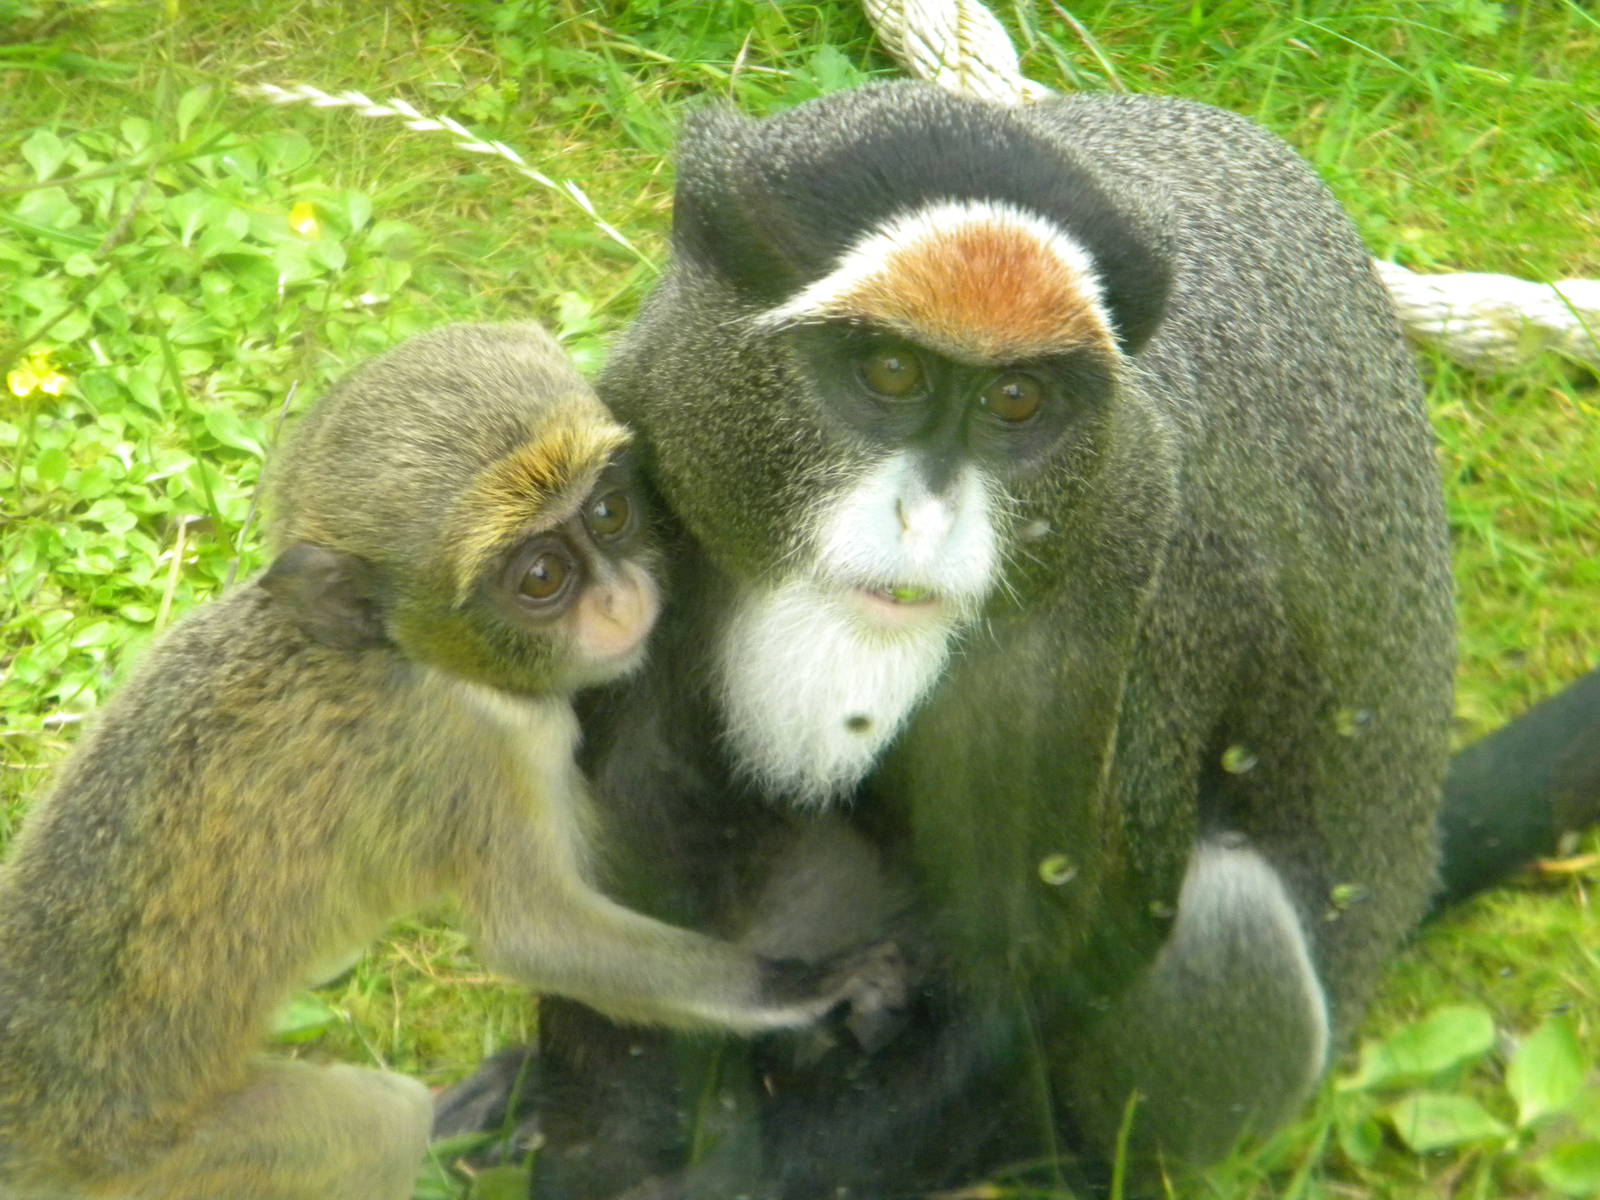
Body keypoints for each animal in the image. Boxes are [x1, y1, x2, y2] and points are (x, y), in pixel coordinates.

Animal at [0, 322, 907, 1200]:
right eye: (541, 575)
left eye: (610, 513)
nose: (621, 599)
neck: (405, 658)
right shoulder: (479, 753)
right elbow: (535, 934)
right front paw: (804, 987)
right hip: (178, 1164)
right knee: (380, 1125)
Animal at [433, 82, 1471, 1198]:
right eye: (891, 372)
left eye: (1015, 398)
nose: (925, 520)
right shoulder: (645, 432)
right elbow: (631, 855)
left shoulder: (1150, 559)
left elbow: (1043, 956)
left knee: (1225, 922)